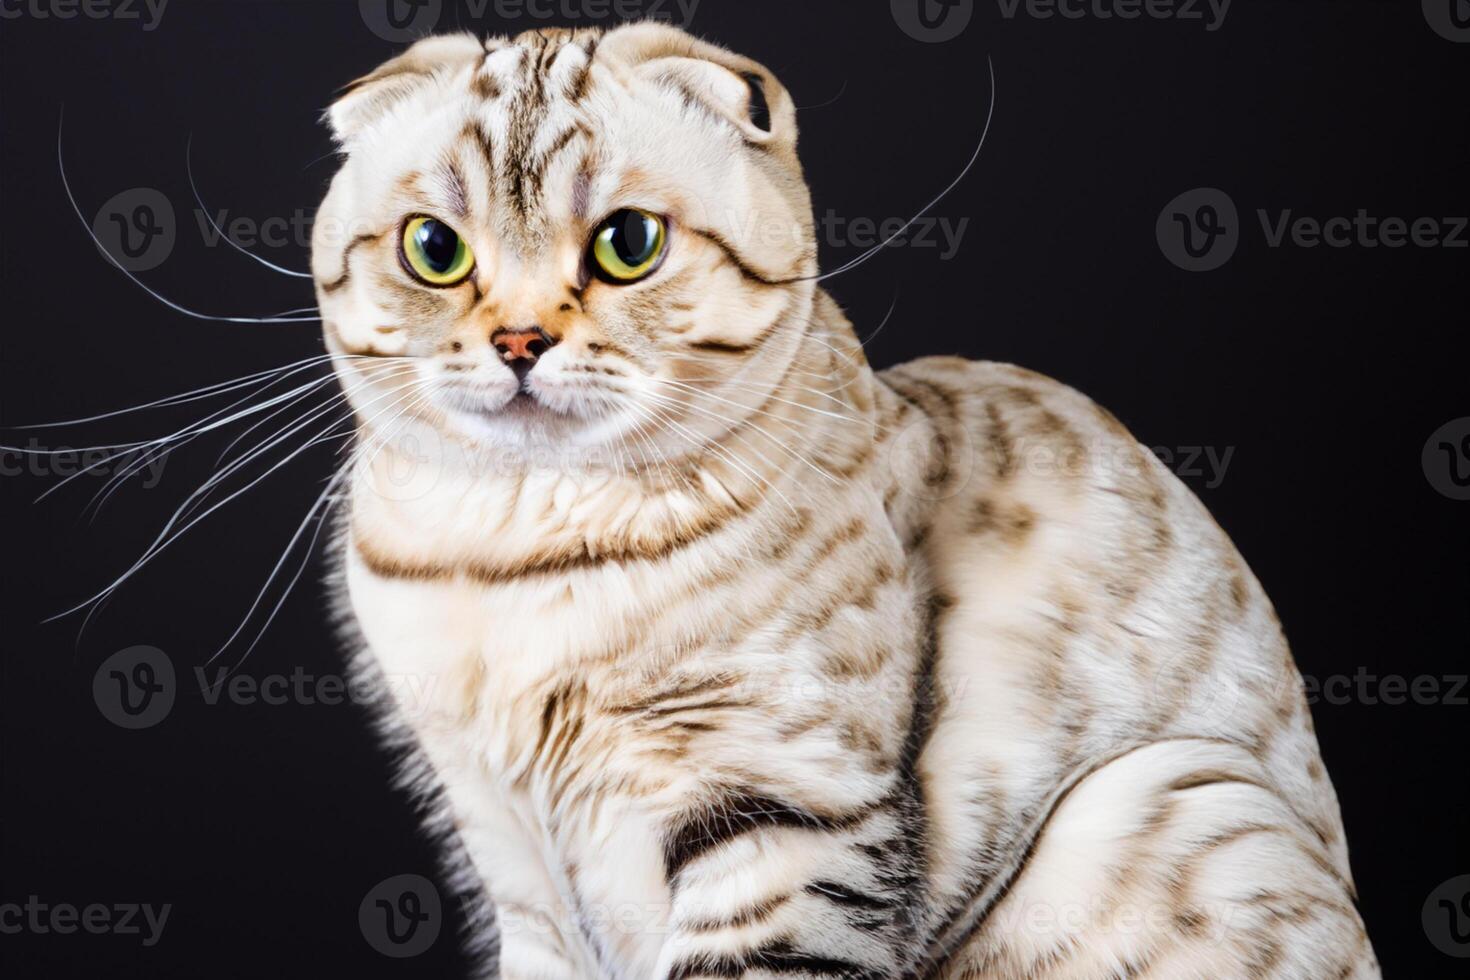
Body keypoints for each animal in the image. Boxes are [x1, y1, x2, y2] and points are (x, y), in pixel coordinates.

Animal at [313, 22, 1375, 980]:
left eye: (628, 243)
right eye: (434, 249)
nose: (520, 340)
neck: (508, 563)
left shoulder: (782, 807)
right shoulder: (510, 853)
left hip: (1179, 804)